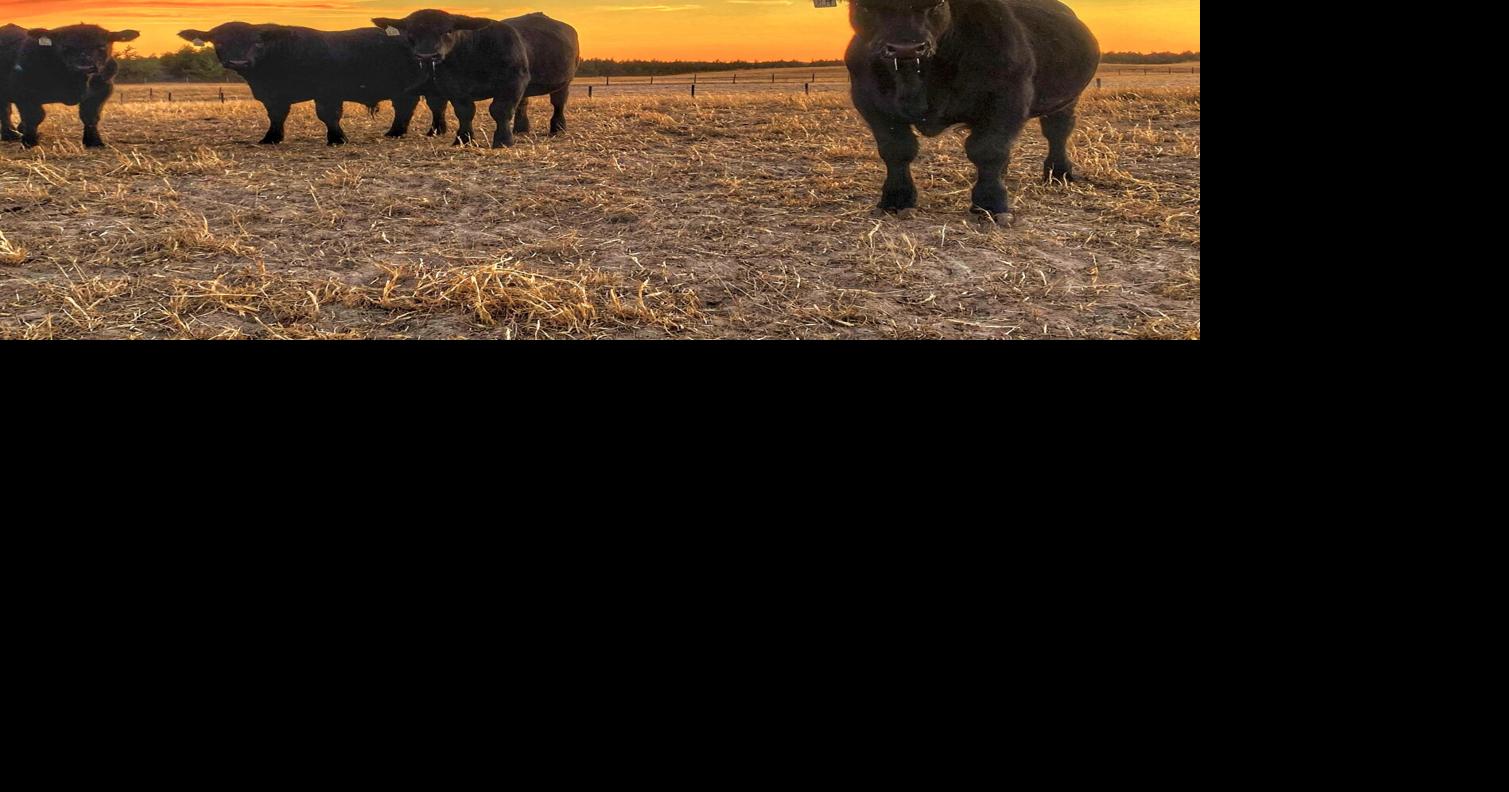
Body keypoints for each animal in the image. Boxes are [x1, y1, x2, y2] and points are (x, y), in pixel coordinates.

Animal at [0, 24, 139, 149]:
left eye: (101, 46)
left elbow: (90, 116)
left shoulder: (102, 90)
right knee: (5, 111)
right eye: (65, 47)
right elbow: (34, 116)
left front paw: (94, 142)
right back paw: (10, 134)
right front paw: (29, 142)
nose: (85, 66)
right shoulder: (24, 92)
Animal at [175, 22, 447, 145]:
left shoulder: (327, 92)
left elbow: (328, 115)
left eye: (257, 42)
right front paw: (271, 137)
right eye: (219, 42)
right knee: (429, 107)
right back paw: (428, 130)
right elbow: (276, 116)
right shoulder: (273, 96)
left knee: (412, 107)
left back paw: (401, 132)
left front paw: (337, 139)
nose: (239, 61)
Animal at [371, 10, 580, 147]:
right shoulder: (455, 88)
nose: (427, 56)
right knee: (523, 103)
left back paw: (558, 128)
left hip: (564, 81)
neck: (471, 57)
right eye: (410, 33)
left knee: (558, 103)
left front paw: (503, 140)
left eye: (448, 31)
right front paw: (463, 139)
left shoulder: (512, 82)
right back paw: (521, 129)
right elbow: (464, 113)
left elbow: (500, 110)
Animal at [845, 0, 1100, 224]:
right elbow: (896, 150)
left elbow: (987, 150)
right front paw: (896, 200)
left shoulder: (1007, 99)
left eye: (939, 3)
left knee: (1057, 132)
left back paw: (1059, 173)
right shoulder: (870, 103)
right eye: (863, 5)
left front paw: (990, 204)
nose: (905, 48)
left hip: (1066, 100)